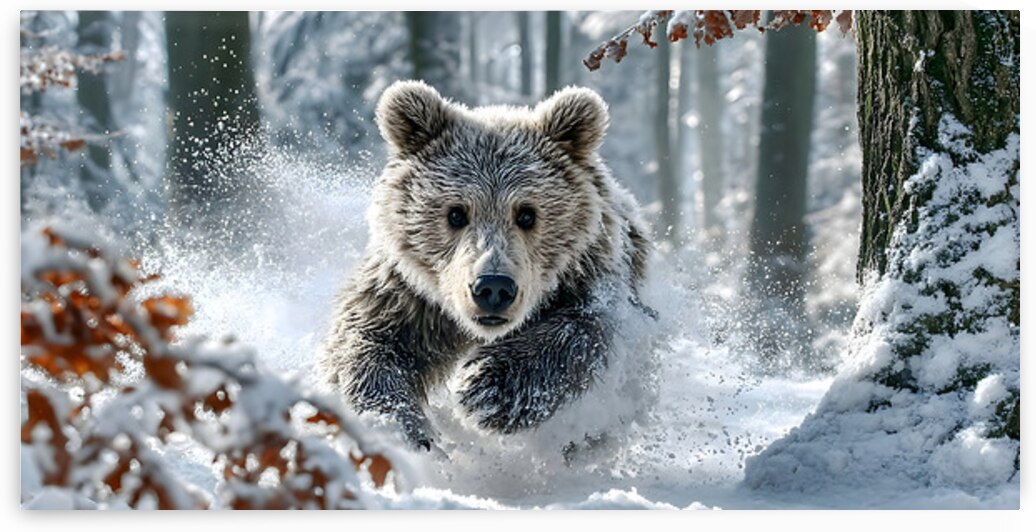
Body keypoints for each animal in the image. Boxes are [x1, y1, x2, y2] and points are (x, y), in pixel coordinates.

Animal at [319, 80, 652, 451]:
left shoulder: (590, 273)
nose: (493, 287)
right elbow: (365, 340)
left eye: (527, 213)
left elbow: (586, 328)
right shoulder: (408, 294)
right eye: (456, 213)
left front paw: (487, 385)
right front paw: (395, 426)